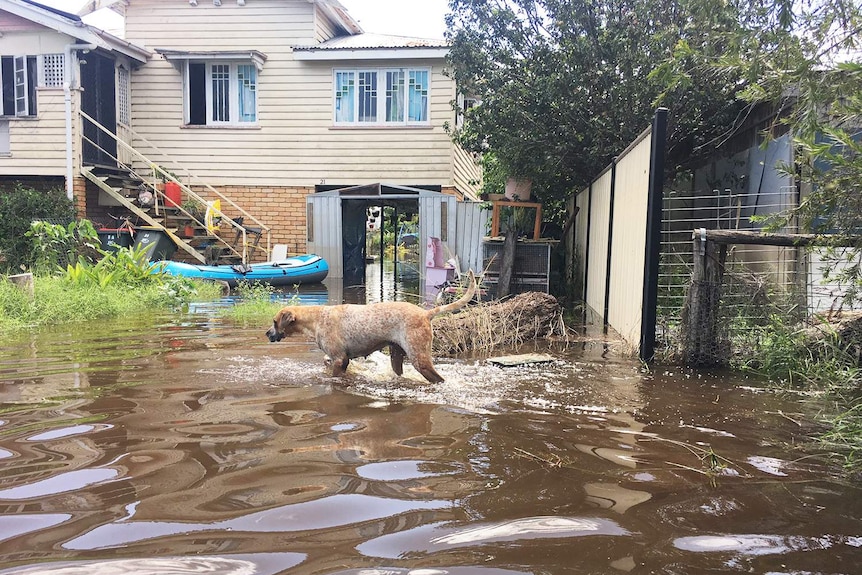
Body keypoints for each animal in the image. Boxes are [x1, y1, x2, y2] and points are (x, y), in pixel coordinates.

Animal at [264, 270, 480, 382]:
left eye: (274, 322)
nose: (267, 333)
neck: (317, 318)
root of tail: (425, 313)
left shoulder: (339, 359)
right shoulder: (341, 360)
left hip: (420, 359)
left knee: (439, 379)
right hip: (396, 356)